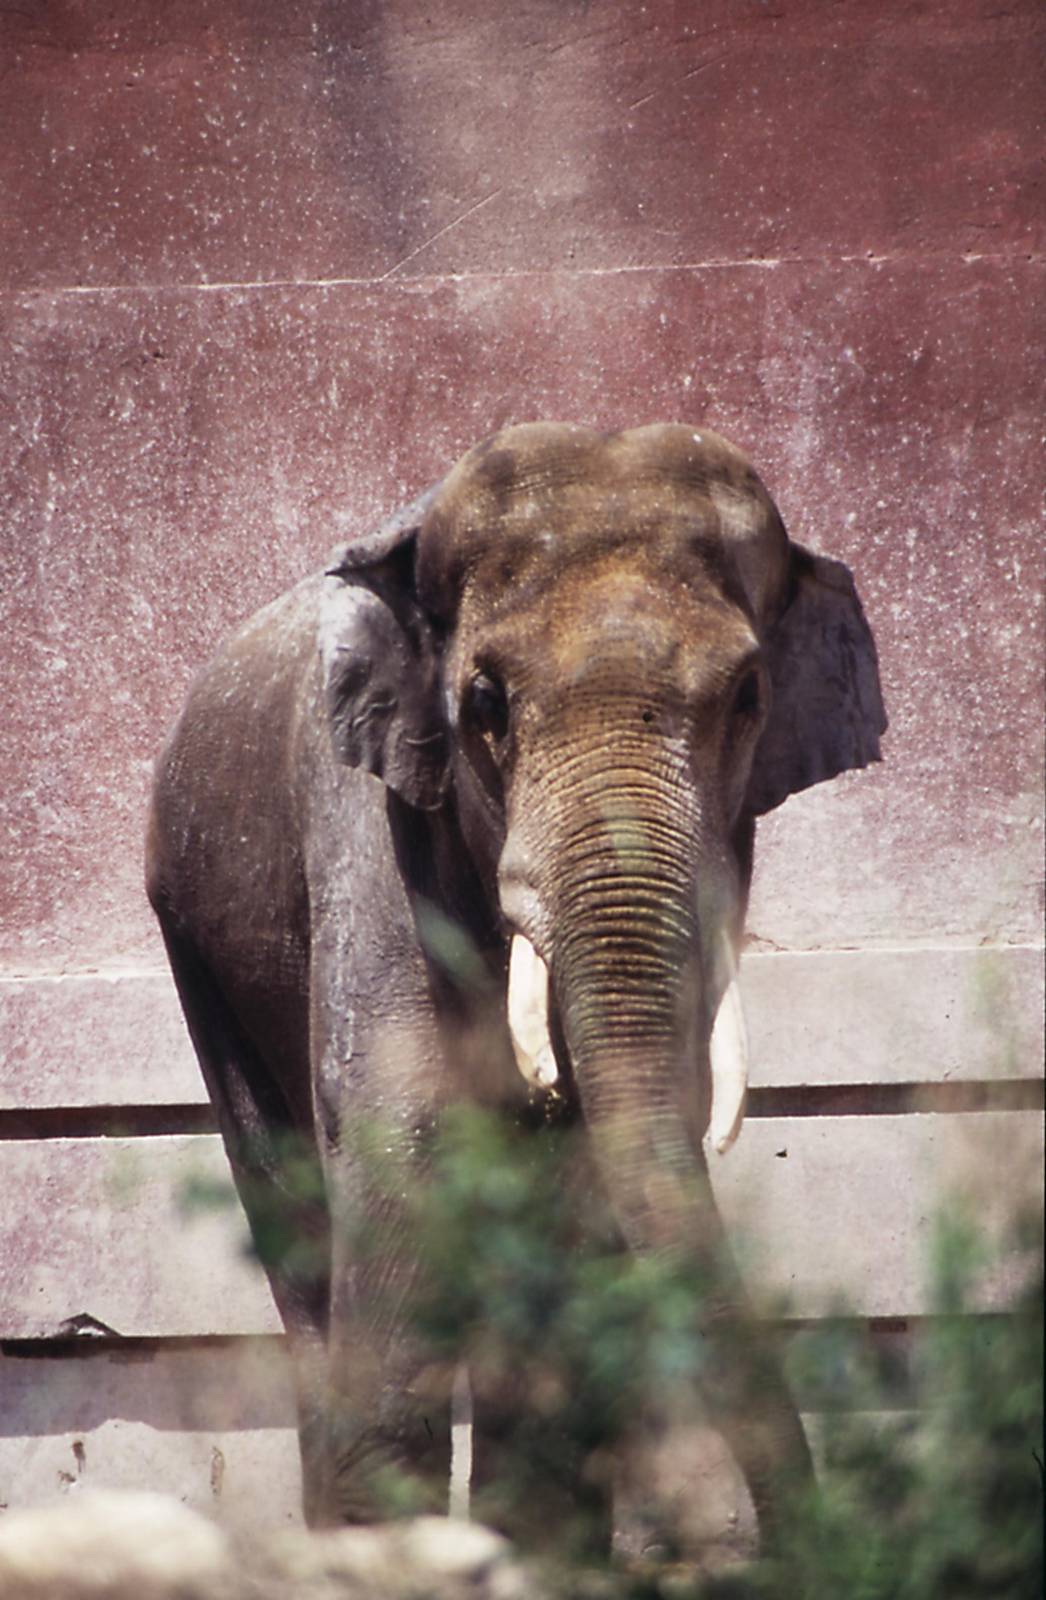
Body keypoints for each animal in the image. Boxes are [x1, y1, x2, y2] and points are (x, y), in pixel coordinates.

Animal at [146, 422, 886, 1554]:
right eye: (484, 704)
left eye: (748, 699)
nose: (812, 1539)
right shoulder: (368, 830)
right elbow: (399, 1138)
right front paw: (392, 1543)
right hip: (195, 927)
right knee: (290, 1210)